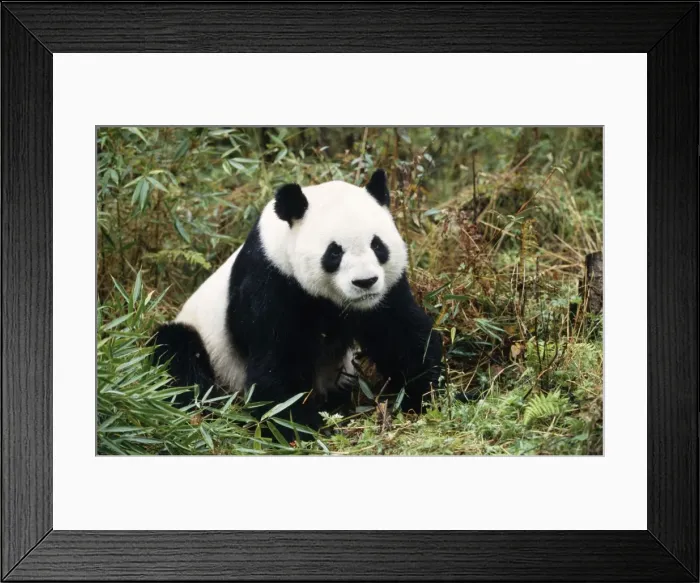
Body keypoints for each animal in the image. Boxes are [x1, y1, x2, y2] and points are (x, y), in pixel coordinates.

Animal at [152, 169, 443, 435]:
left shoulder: (385, 292)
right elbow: (277, 361)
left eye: (378, 245)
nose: (365, 282)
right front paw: (301, 427)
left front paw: (425, 396)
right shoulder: (271, 281)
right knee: (176, 355)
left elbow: (401, 336)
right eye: (334, 252)